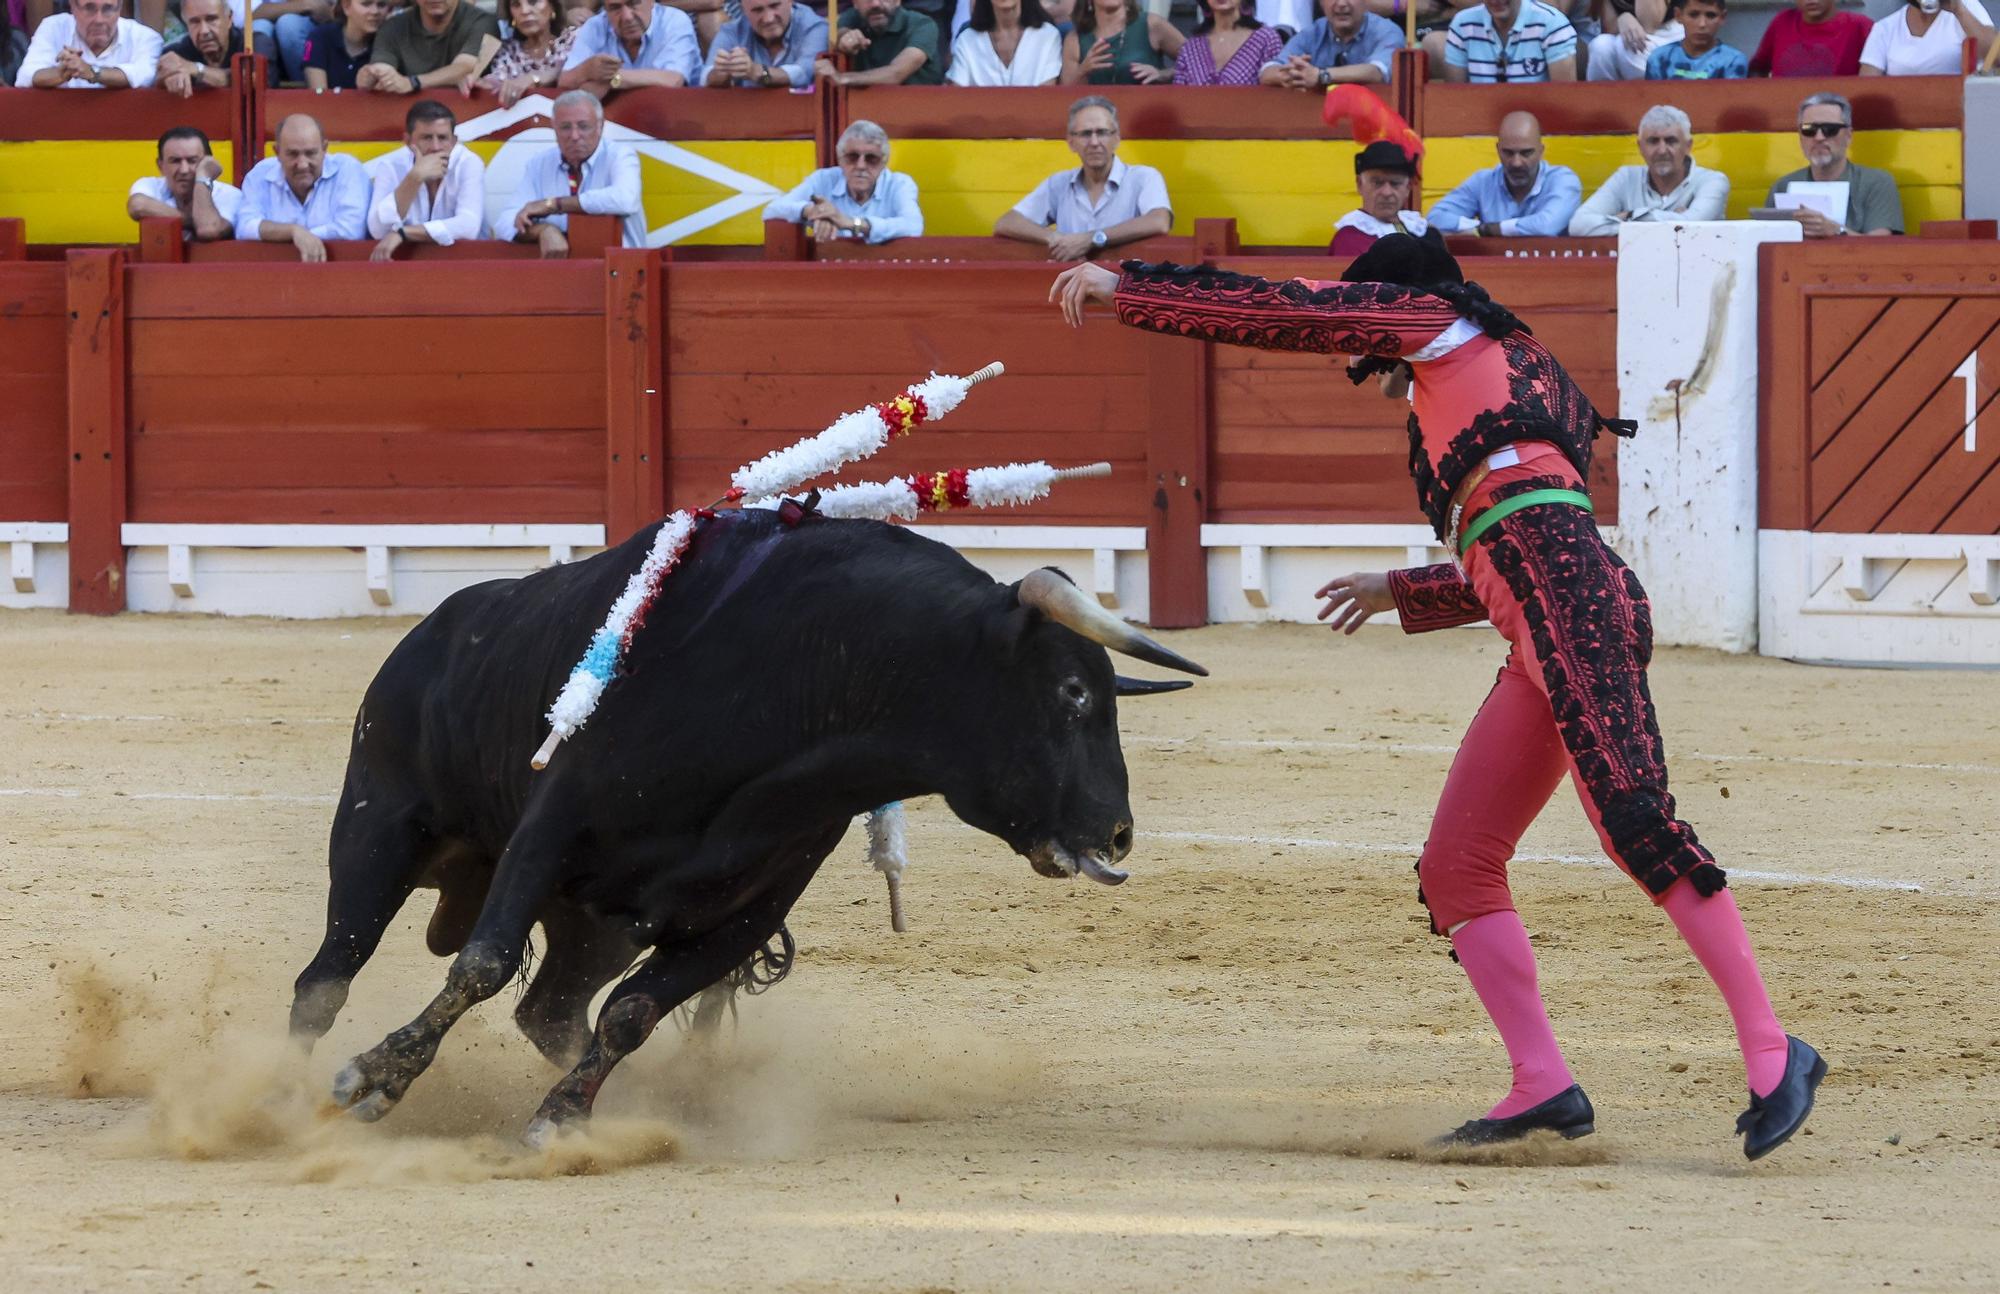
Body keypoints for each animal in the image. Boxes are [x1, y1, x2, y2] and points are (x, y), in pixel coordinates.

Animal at [286, 508, 1200, 1144]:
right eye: (1073, 693)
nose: (1118, 834)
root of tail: (426, 637)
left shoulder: (748, 906)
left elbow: (633, 1013)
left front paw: (565, 1116)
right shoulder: (549, 830)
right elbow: (483, 963)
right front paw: (375, 1079)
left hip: (595, 926)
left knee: (551, 1009)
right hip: (377, 834)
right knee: (326, 978)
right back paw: (279, 1094)